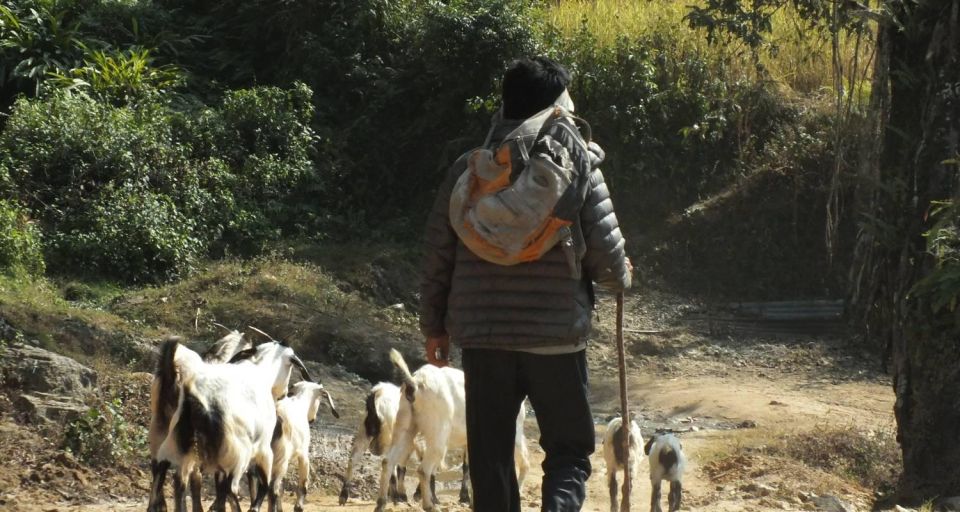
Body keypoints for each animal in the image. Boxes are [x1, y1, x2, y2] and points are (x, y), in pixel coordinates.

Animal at [149, 336, 312, 512]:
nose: (284, 394)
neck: (261, 371)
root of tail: (195, 398)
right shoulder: (263, 449)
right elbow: (263, 485)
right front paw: (253, 508)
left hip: (176, 441)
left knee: (167, 472)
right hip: (237, 453)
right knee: (229, 486)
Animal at [266, 380, 342, 512]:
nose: (312, 419)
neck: (299, 403)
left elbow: (282, 488)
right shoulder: (303, 455)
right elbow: (303, 484)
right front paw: (299, 506)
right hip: (280, 458)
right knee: (272, 490)